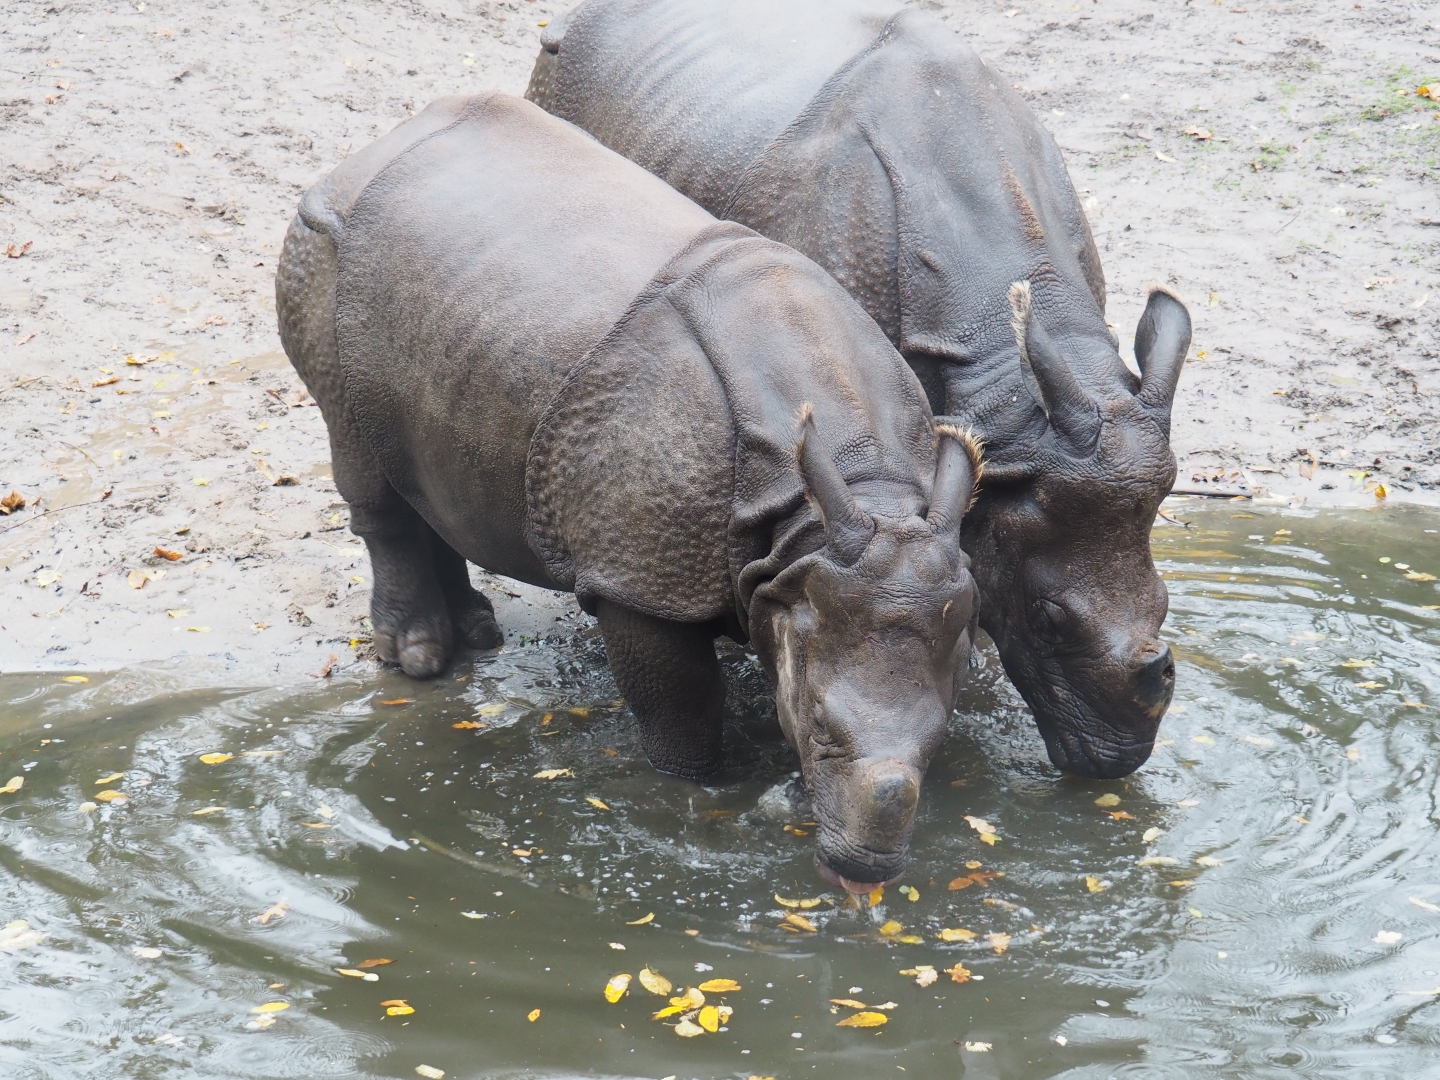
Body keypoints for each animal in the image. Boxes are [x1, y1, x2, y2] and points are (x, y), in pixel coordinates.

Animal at [275, 93, 984, 889]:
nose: (863, 870)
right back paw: (421, 659)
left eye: (939, 734)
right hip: (322, 255)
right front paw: (695, 792)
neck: (845, 501)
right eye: (822, 722)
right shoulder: (637, 575)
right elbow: (681, 704)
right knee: (358, 450)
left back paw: (476, 634)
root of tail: (364, 157)